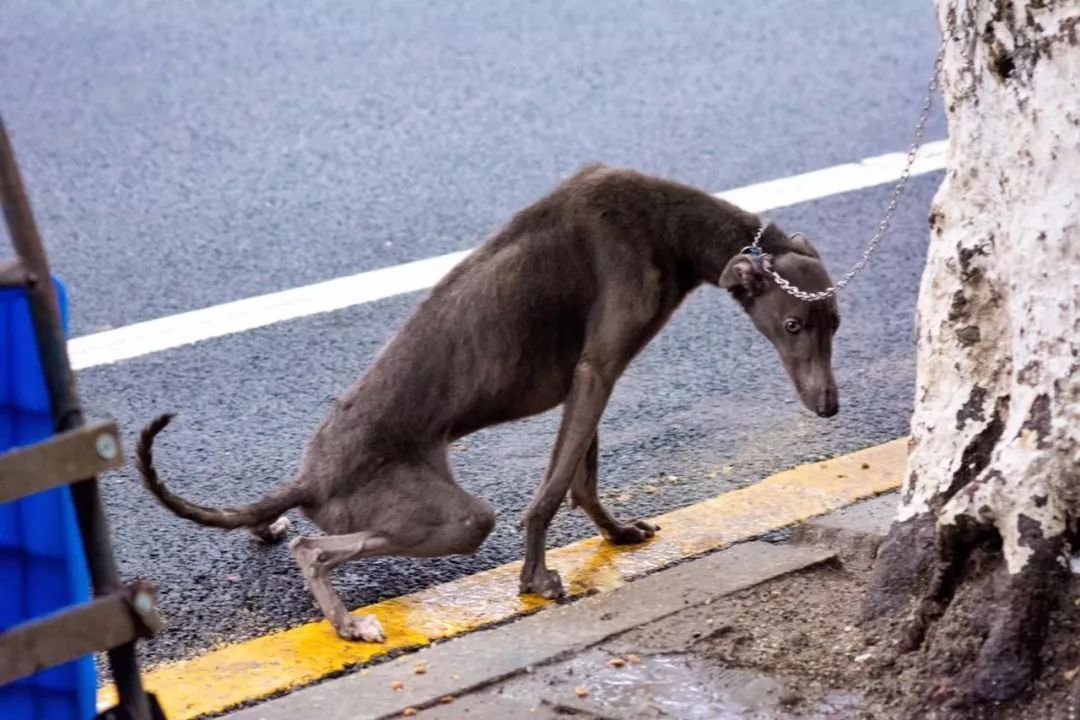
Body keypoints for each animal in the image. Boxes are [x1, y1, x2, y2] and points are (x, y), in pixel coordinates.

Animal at [137, 166, 842, 643]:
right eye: (793, 326)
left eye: (835, 321)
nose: (830, 407)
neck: (663, 225)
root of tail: (309, 480)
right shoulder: (596, 370)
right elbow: (551, 492)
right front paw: (536, 578)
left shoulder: (596, 378)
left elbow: (581, 478)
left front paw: (614, 535)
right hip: (455, 518)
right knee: (314, 549)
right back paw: (347, 622)